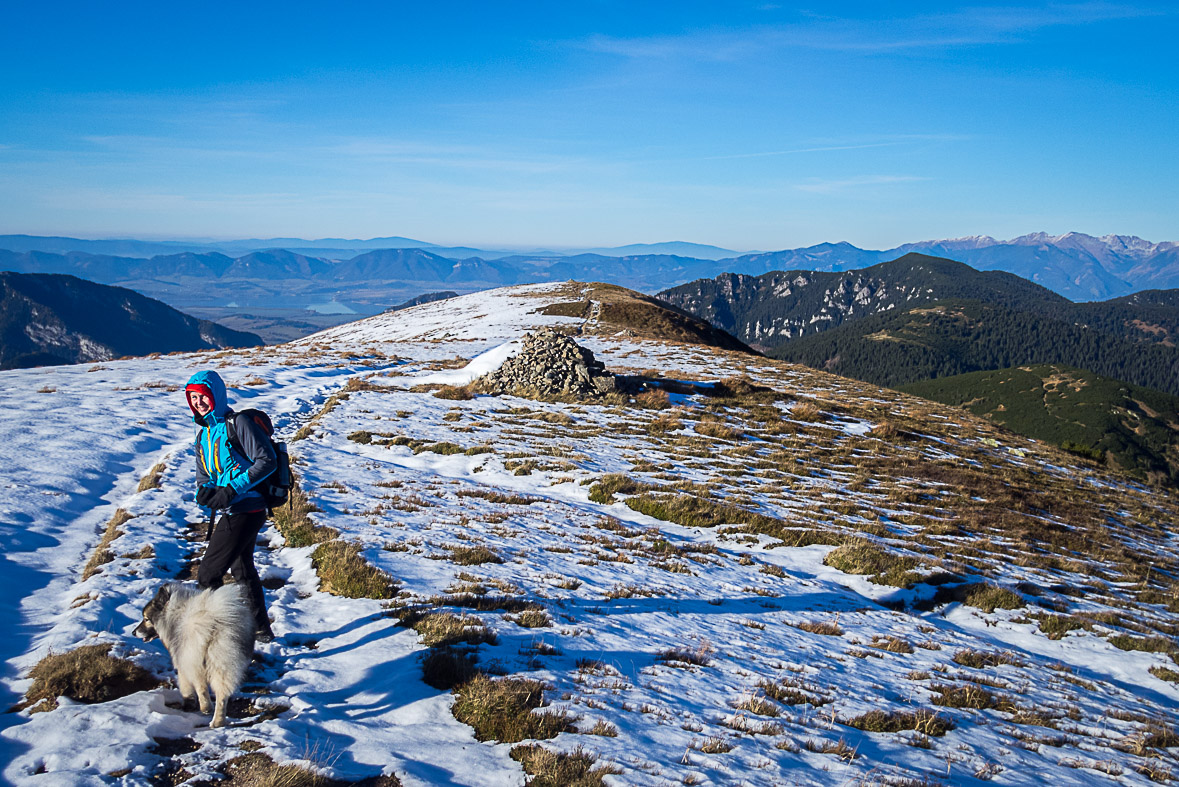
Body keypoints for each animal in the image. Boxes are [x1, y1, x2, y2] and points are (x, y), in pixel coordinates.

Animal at [133, 582, 253, 730]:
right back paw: (217, 722)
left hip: (194, 656)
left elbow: (186, 685)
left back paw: (206, 707)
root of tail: (216, 621)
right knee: (222, 694)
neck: (173, 614)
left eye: (146, 619)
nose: (133, 632)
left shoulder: (181, 659)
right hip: (224, 660)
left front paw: (188, 703)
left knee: (200, 684)